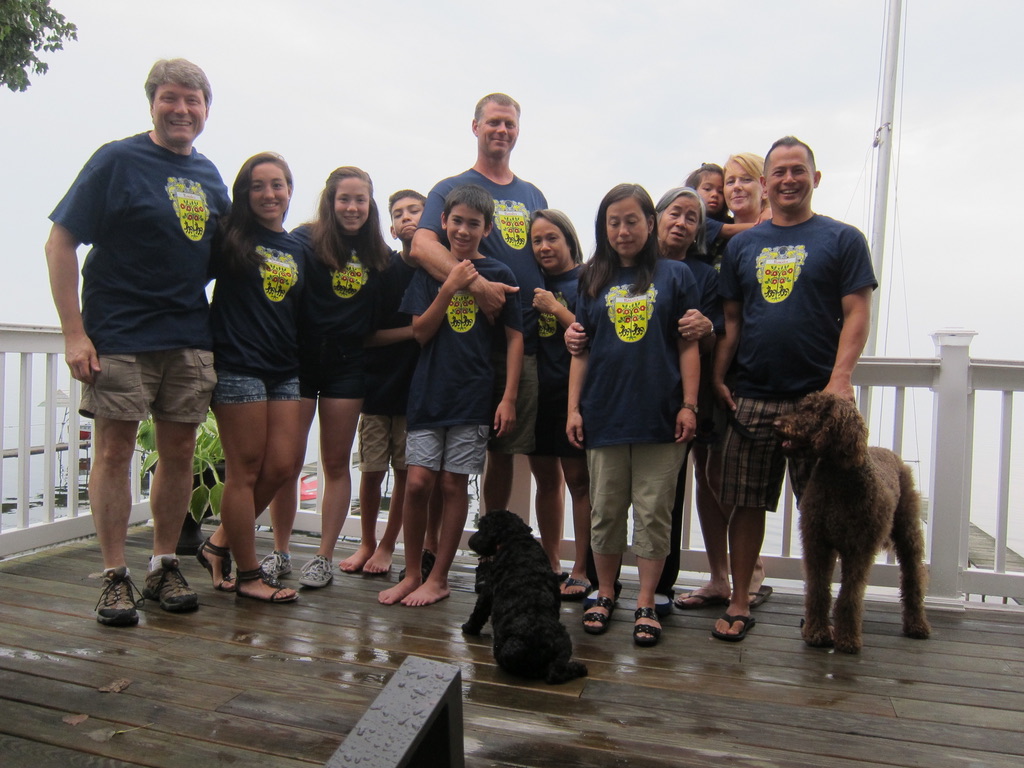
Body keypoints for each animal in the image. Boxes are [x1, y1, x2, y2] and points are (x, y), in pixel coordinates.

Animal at [462, 510, 587, 684]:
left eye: (482, 527)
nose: (470, 542)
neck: (516, 537)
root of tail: (541, 642)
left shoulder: (488, 589)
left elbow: (478, 611)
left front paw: (468, 628)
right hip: (564, 640)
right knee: (557, 671)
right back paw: (579, 667)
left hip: (504, 651)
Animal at [774, 391, 931, 654]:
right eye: (802, 406)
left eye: (812, 412)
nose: (776, 425)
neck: (838, 477)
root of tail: (888, 452)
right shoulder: (817, 543)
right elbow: (818, 590)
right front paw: (817, 632)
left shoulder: (859, 548)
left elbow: (850, 594)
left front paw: (847, 638)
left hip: (908, 532)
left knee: (913, 577)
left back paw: (917, 625)